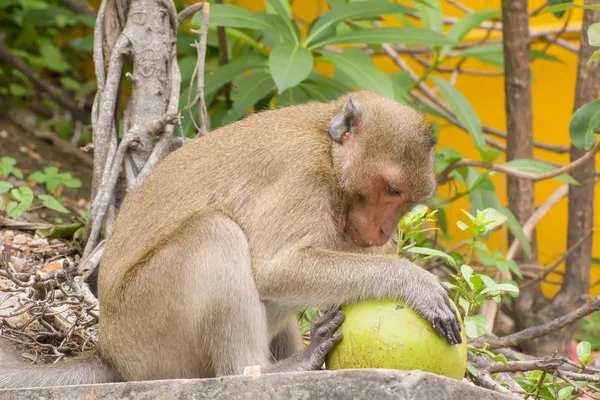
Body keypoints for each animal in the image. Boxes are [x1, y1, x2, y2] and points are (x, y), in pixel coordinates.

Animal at [0, 90, 462, 388]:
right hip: (150, 331)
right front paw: (413, 280)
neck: (329, 154)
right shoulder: (300, 173)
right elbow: (275, 268)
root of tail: (111, 351)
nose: (385, 231)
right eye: (391, 189)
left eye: (407, 200)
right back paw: (268, 371)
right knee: (214, 233)